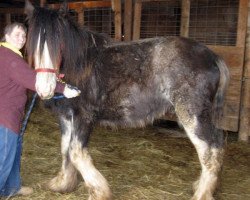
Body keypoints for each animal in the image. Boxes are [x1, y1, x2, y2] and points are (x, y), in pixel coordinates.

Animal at [24, 0, 229, 199]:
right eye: (32, 43)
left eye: (59, 44)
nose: (44, 89)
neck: (81, 66)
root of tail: (212, 57)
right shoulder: (66, 117)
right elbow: (65, 148)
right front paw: (63, 184)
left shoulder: (85, 117)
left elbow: (75, 152)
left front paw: (99, 192)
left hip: (192, 115)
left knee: (210, 151)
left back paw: (202, 193)